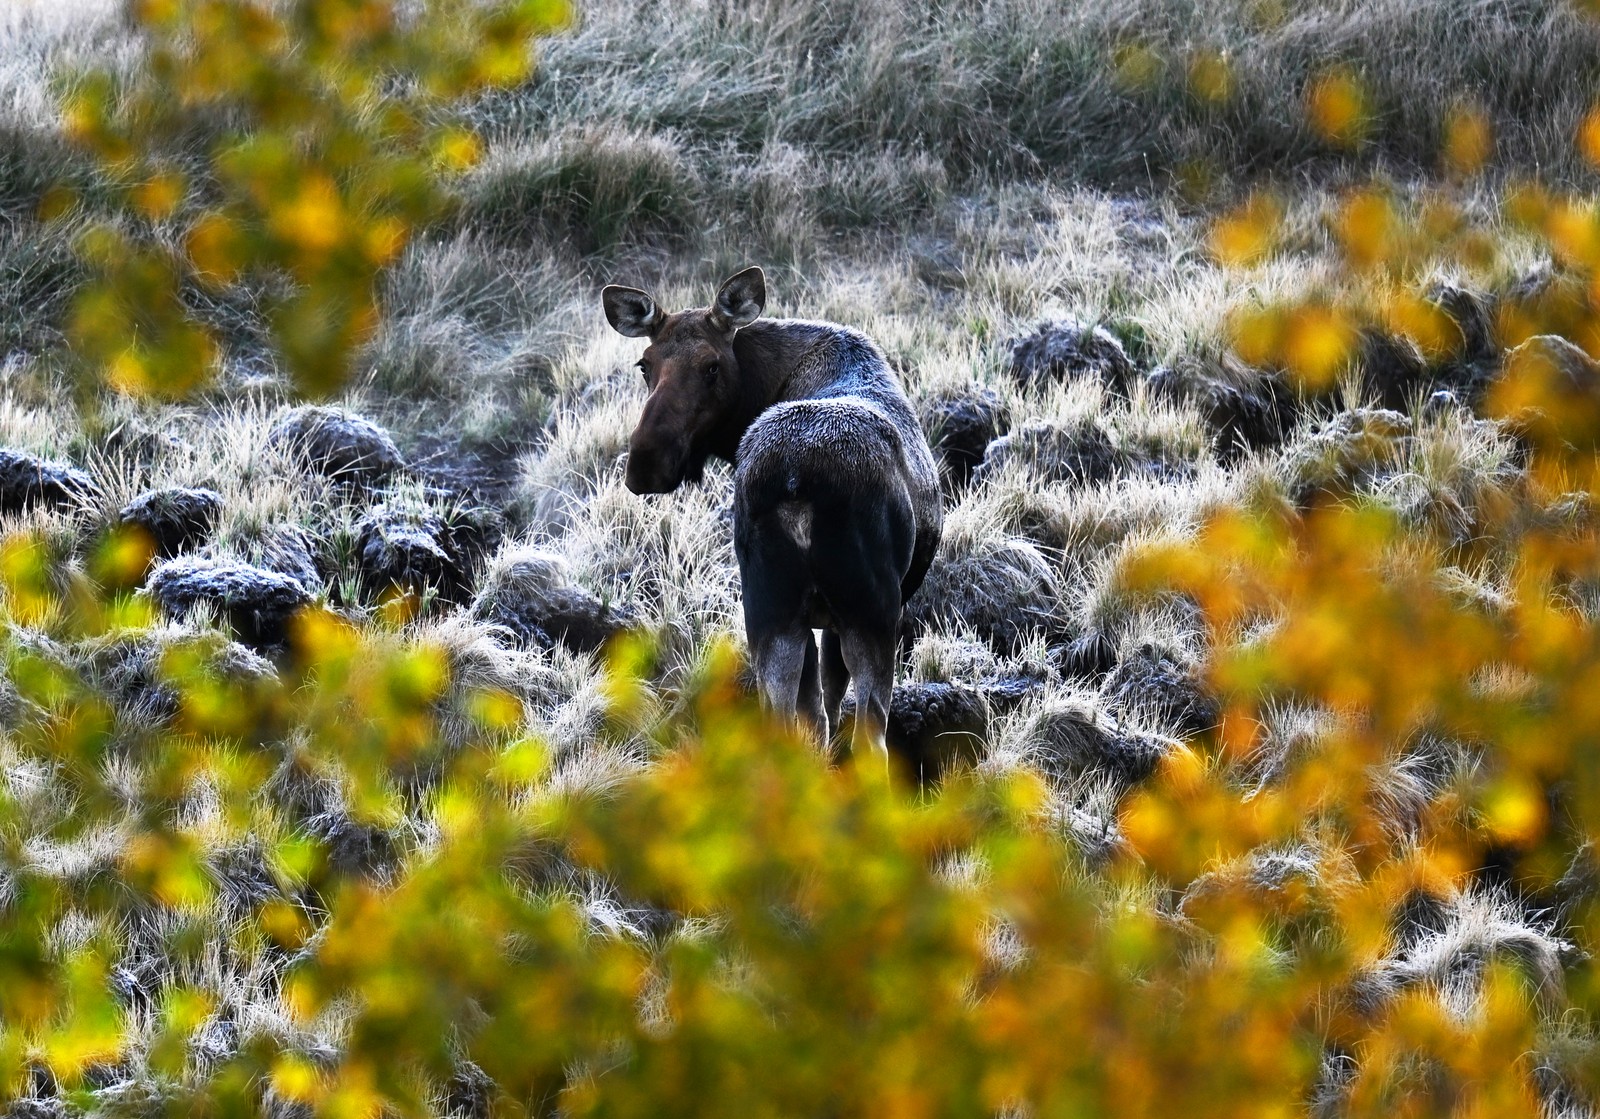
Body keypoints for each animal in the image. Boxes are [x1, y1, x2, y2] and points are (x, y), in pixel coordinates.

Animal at [602, 267, 942, 764]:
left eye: (711, 366)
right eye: (645, 365)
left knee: (781, 723)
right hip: (868, 609)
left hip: (769, 609)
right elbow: (830, 703)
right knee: (868, 738)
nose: (646, 462)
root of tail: (795, 486)